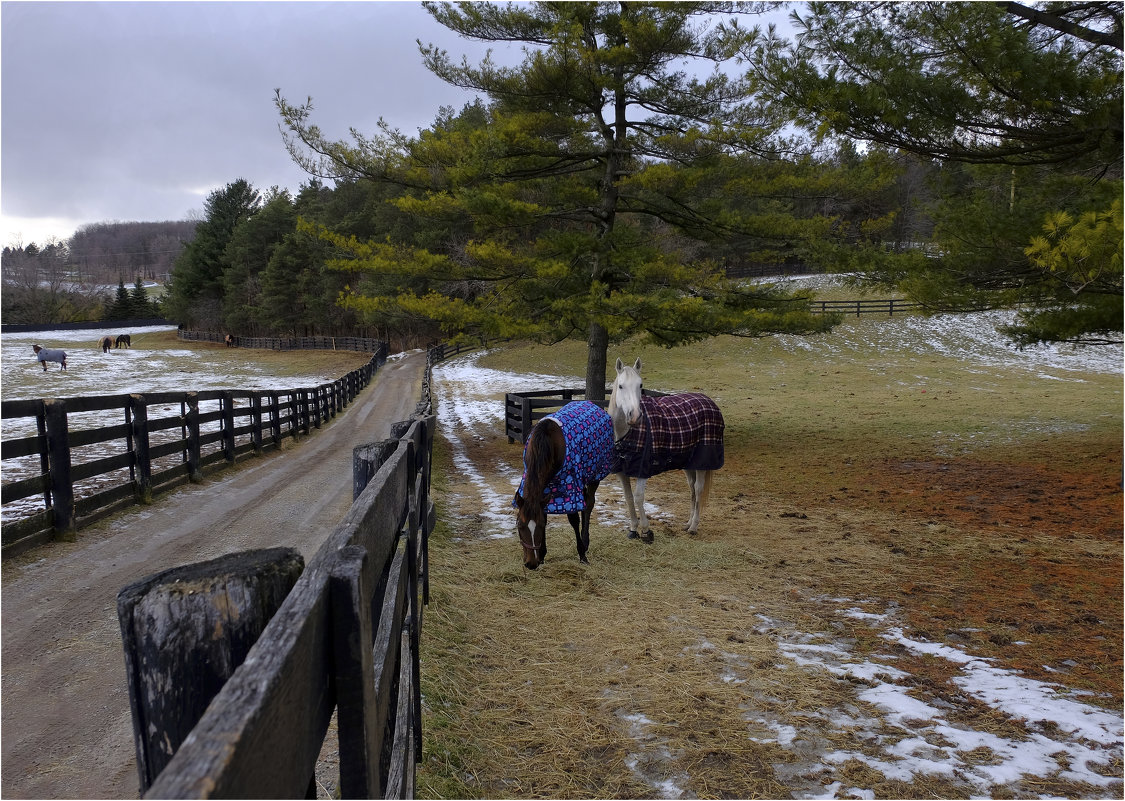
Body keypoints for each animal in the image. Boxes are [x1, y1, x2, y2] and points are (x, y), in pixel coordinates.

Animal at [612, 357, 724, 542]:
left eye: (640, 385)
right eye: (621, 386)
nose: (635, 416)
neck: (627, 434)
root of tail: (710, 402)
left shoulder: (643, 469)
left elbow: (638, 497)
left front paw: (646, 530)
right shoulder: (621, 471)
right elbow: (628, 498)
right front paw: (633, 529)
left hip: (702, 463)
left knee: (698, 489)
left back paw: (694, 527)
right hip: (688, 463)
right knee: (692, 488)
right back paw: (687, 523)